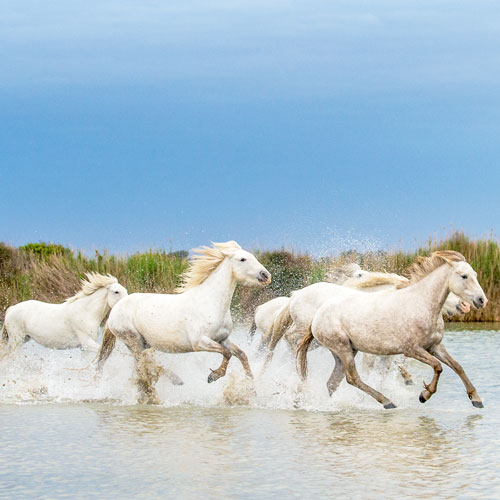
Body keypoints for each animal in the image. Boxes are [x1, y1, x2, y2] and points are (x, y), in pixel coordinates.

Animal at [1, 274, 129, 356]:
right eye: (116, 292)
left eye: (126, 290)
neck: (86, 312)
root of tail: (11, 309)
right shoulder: (87, 343)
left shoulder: (84, 348)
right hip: (16, 341)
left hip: (24, 339)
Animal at [95, 240, 272, 404]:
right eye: (242, 259)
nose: (266, 275)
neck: (211, 302)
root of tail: (116, 308)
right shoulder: (199, 342)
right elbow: (227, 353)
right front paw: (213, 376)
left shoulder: (223, 338)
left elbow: (242, 355)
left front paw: (252, 389)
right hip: (133, 339)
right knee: (143, 364)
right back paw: (168, 384)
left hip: (140, 343)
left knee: (142, 365)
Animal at [298, 252, 486, 408]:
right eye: (464, 276)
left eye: (475, 275)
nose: (481, 300)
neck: (422, 303)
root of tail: (317, 316)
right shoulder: (412, 350)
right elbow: (438, 366)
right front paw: (424, 395)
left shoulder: (435, 346)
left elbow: (457, 366)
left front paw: (476, 399)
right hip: (342, 348)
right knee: (352, 378)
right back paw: (387, 401)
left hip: (345, 351)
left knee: (333, 382)